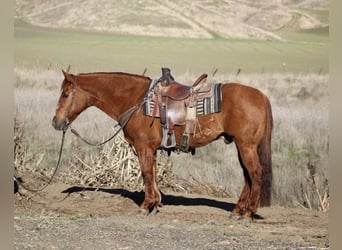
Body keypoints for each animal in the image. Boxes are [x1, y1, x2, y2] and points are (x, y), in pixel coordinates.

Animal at [52, 69, 272, 220]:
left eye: (65, 94)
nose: (56, 122)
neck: (136, 100)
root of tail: (262, 97)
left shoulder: (143, 147)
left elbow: (146, 174)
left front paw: (145, 206)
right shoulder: (152, 149)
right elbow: (154, 174)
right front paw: (155, 204)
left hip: (246, 146)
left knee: (255, 174)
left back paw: (248, 213)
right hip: (242, 147)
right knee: (247, 177)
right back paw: (238, 210)